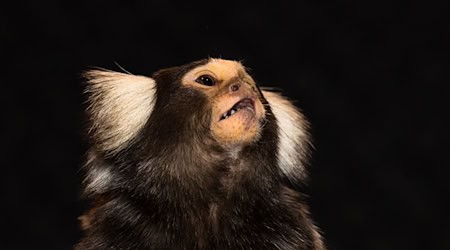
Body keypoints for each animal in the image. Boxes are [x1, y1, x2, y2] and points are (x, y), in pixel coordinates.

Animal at [76, 57, 324, 249]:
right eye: (206, 80)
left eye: (252, 85)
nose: (244, 88)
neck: (210, 206)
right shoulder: (119, 223)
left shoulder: (288, 226)